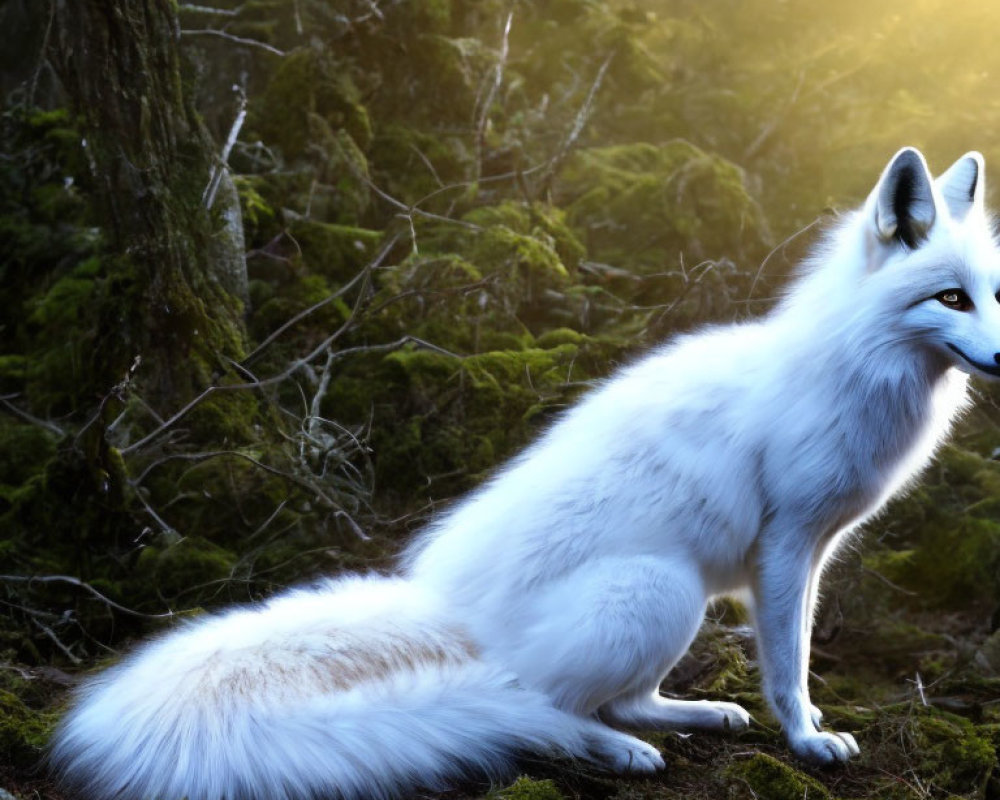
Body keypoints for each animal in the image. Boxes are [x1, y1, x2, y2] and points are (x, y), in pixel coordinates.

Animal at [50, 147, 996, 796]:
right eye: (950, 298)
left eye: (994, 294)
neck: (851, 368)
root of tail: (449, 605)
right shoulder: (789, 547)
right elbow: (789, 665)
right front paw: (804, 739)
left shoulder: (808, 550)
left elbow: (790, 660)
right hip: (658, 592)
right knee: (543, 707)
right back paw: (620, 750)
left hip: (675, 600)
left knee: (613, 699)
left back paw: (691, 716)